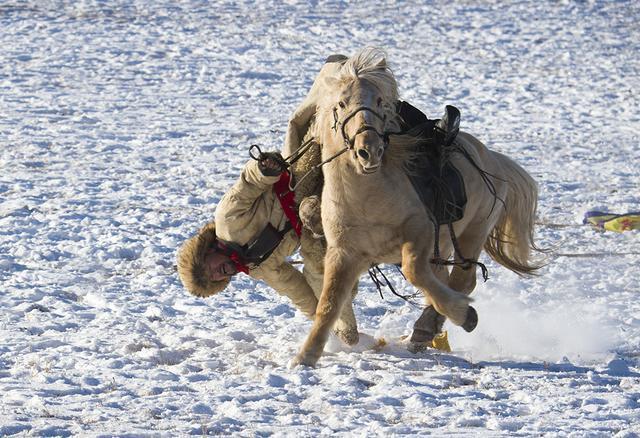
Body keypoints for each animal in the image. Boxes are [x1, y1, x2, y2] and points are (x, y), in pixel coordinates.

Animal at [292, 48, 544, 368]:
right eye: (341, 103)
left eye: (380, 101)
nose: (369, 150)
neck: (367, 197)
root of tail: (490, 157)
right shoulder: (343, 253)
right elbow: (329, 303)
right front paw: (306, 357)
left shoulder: (420, 232)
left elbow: (414, 270)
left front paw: (464, 314)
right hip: (444, 245)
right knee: (445, 281)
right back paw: (427, 330)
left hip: (471, 234)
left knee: (462, 280)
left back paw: (439, 323)